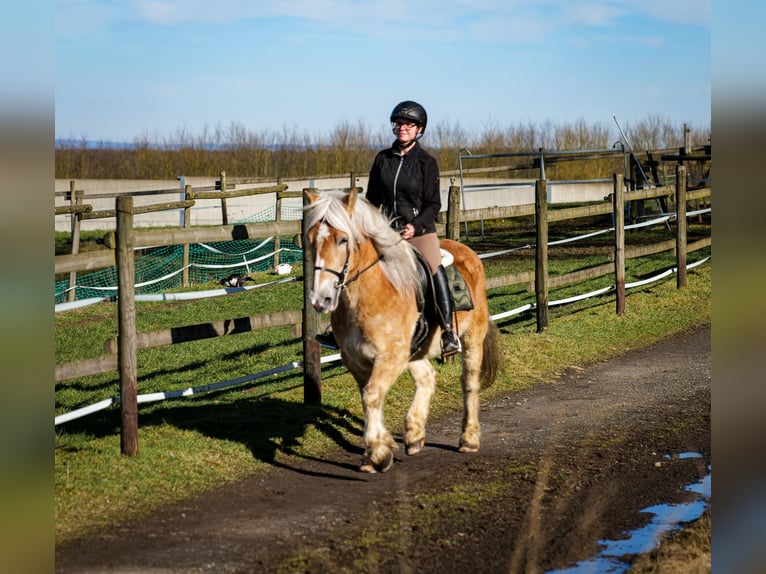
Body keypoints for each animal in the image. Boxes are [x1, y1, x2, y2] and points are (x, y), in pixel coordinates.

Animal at [304, 191, 500, 474]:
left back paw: (468, 439)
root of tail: (467, 252)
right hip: (415, 350)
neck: (369, 295)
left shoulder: (390, 356)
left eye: (342, 240)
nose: (321, 299)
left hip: (472, 337)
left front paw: (378, 453)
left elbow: (372, 395)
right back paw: (414, 434)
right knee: (428, 378)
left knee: (469, 383)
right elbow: (369, 397)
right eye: (310, 240)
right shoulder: (356, 359)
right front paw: (377, 451)